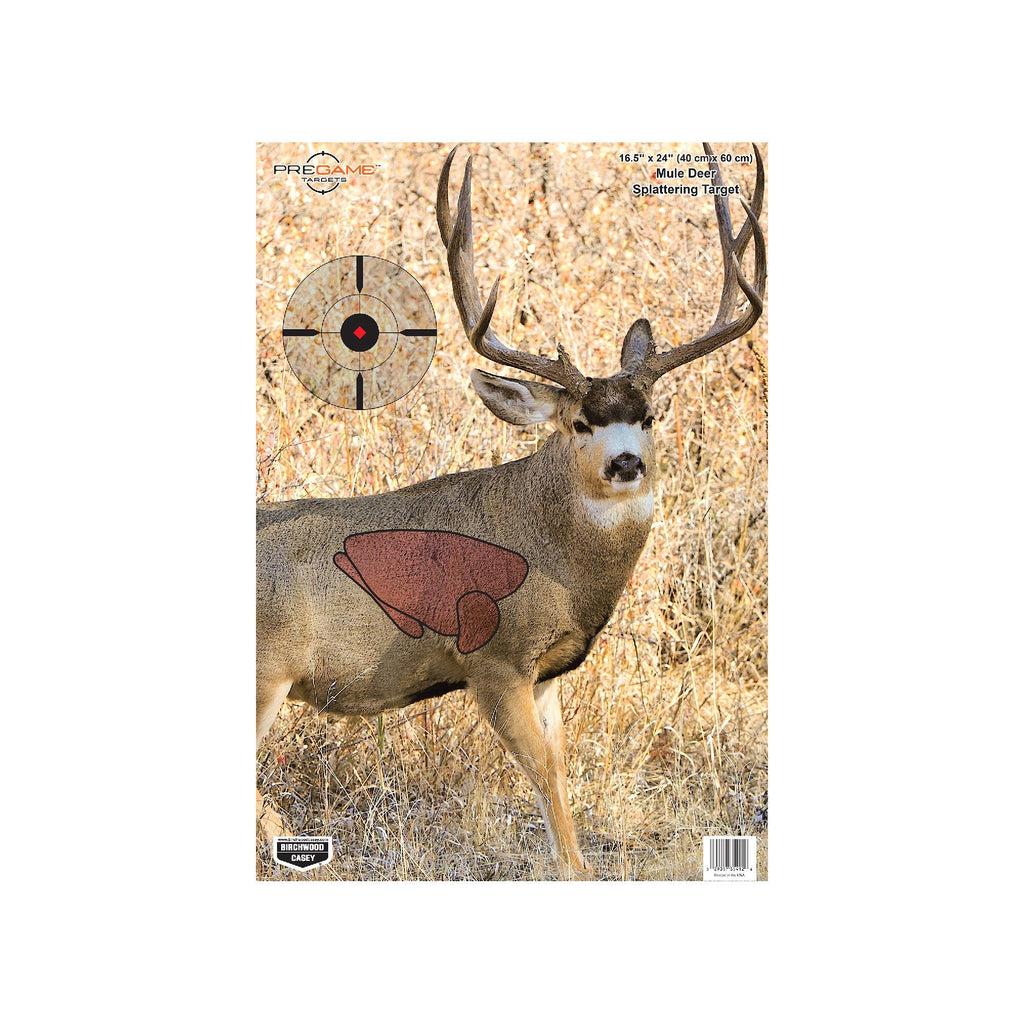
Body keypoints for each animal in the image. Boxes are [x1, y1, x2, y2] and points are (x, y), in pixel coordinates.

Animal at [257, 143, 765, 877]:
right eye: (580, 423)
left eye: (646, 417)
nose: (626, 463)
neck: (556, 560)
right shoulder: (493, 660)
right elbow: (544, 780)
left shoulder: (548, 673)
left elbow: (561, 778)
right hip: (265, 672)